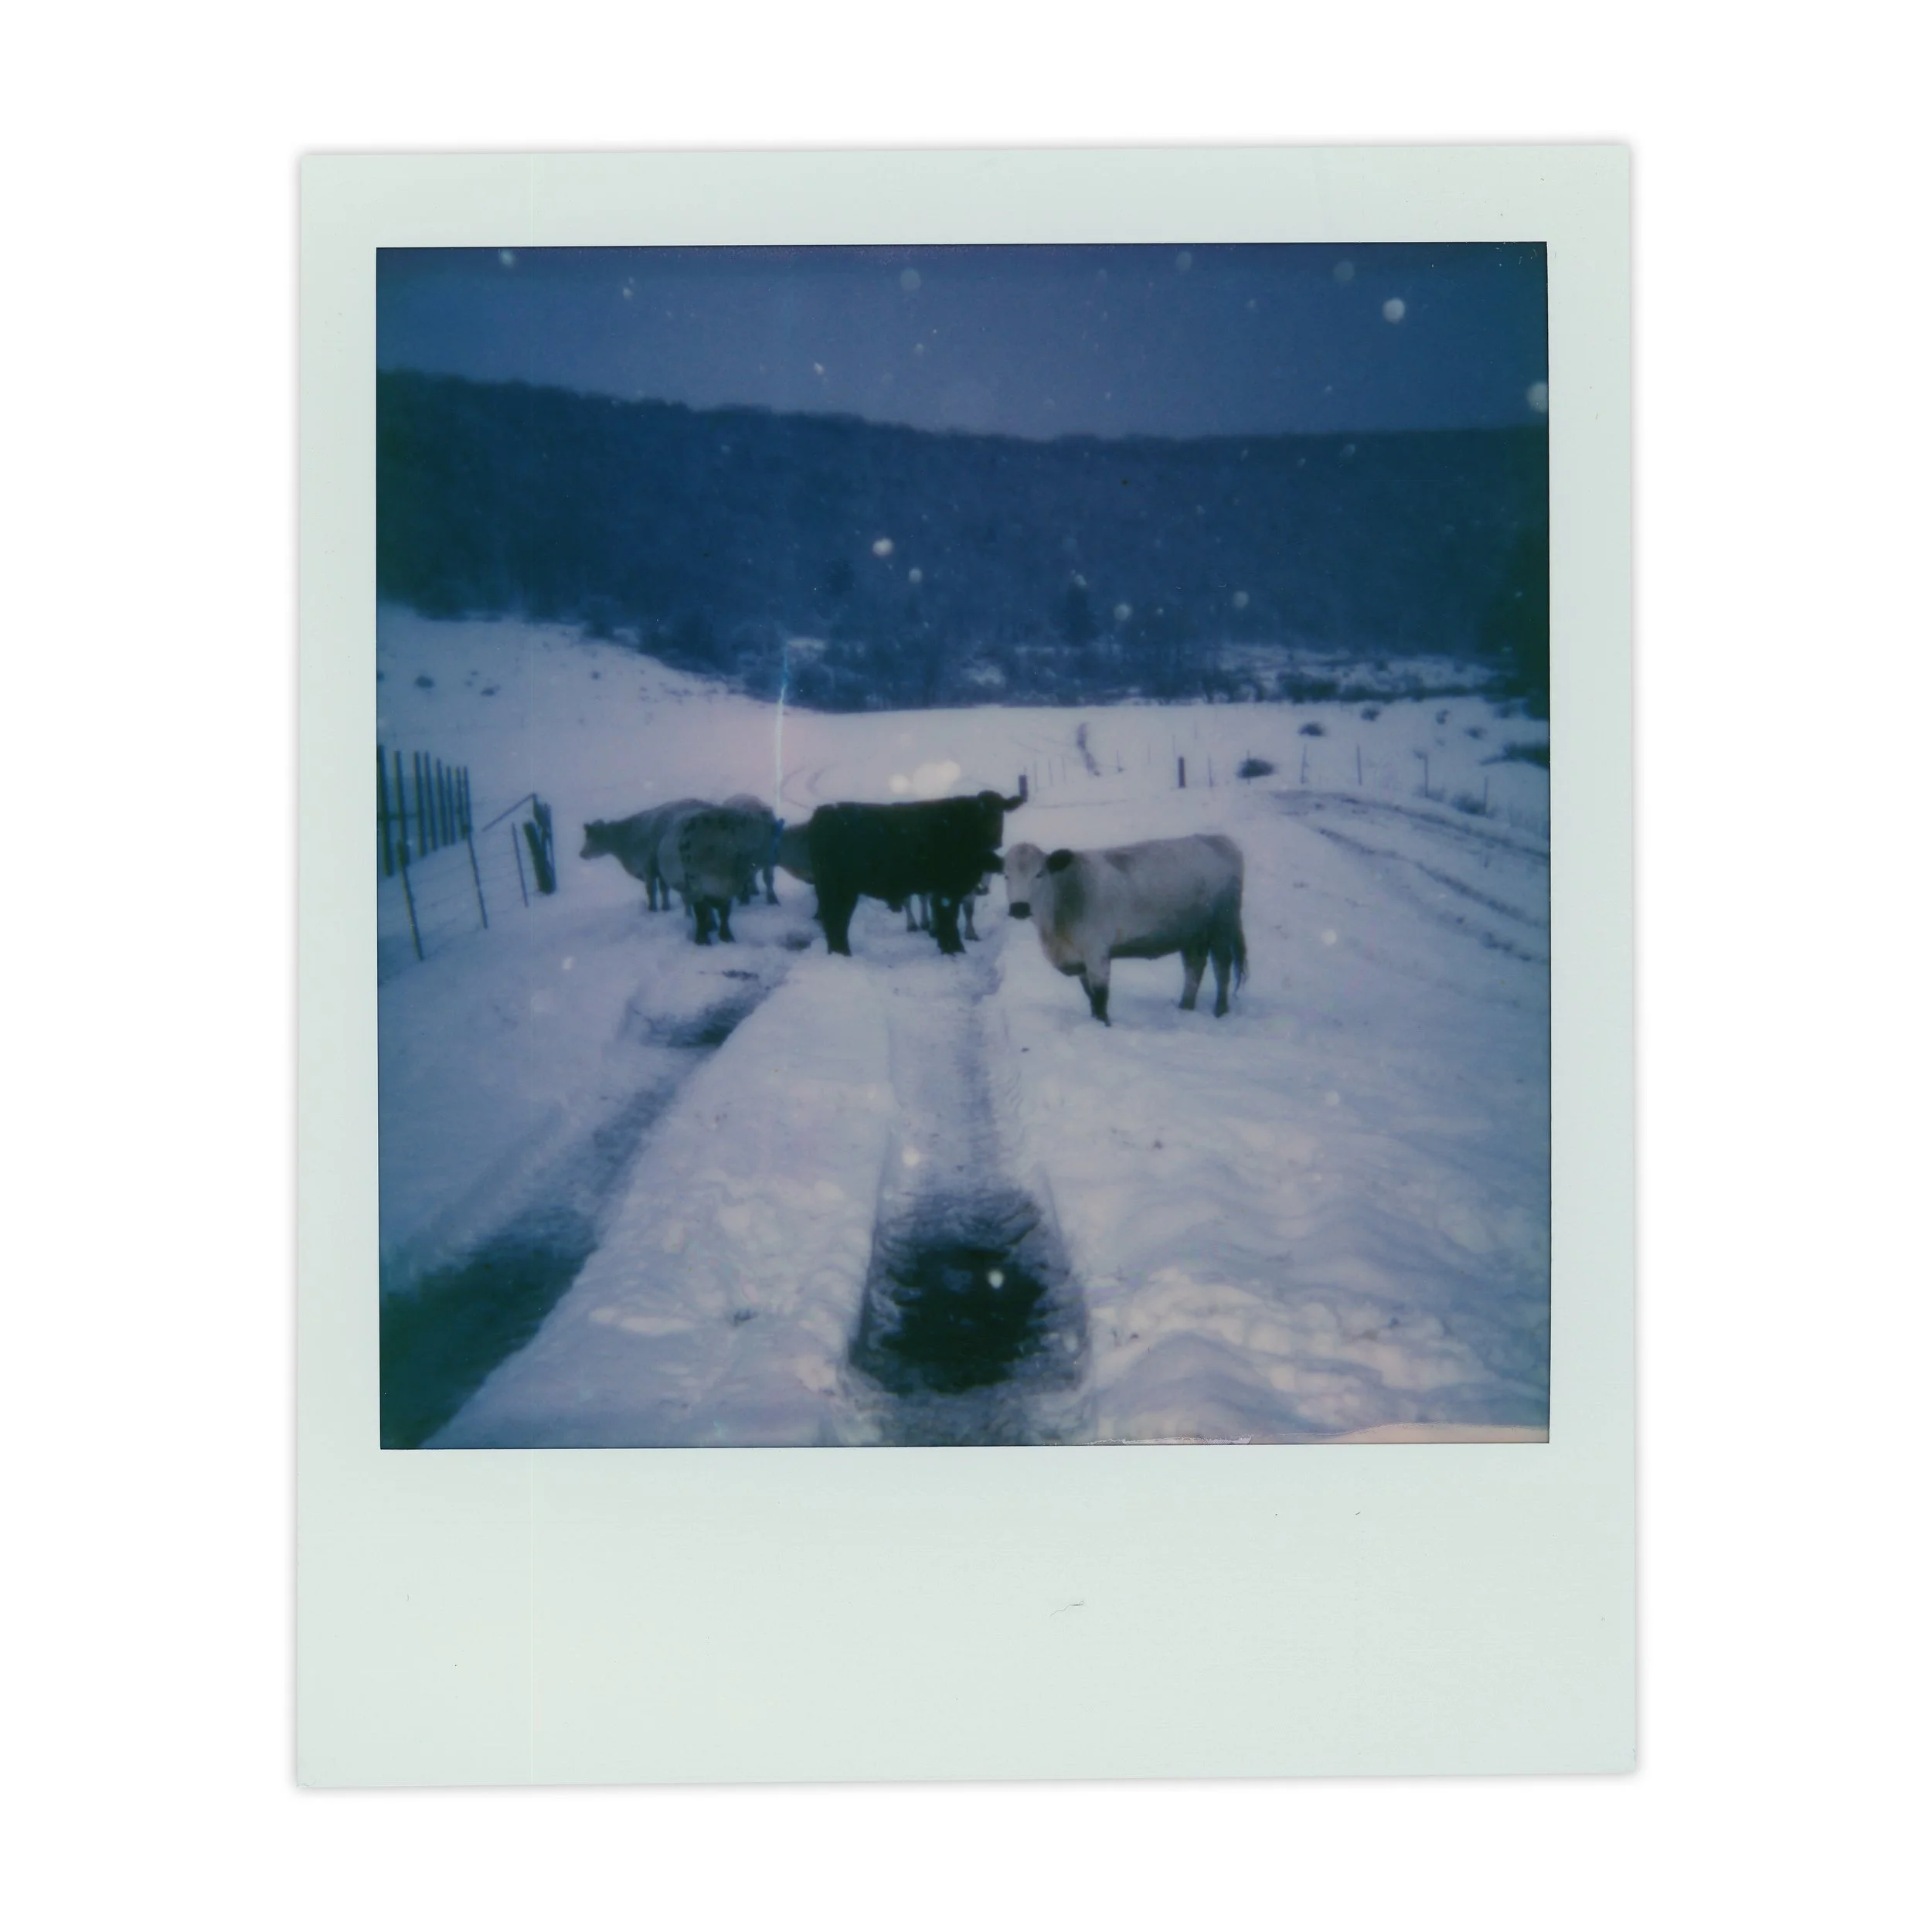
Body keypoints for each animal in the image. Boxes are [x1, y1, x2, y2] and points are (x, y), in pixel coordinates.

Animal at [580, 798, 708, 910]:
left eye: (594, 837)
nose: (581, 853)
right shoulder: (658, 871)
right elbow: (663, 890)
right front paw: (665, 907)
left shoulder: (649, 869)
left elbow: (652, 890)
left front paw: (653, 908)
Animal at [806, 790, 1022, 956]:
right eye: (979, 816)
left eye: (1001, 813)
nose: (995, 842)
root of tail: (824, 813)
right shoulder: (947, 891)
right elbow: (947, 919)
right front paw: (955, 950)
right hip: (839, 888)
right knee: (836, 919)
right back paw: (842, 953)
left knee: (835, 921)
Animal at [1002, 835, 1247, 1025]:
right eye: (1006, 876)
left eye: (1040, 874)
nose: (1019, 907)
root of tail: (1219, 840)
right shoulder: (1079, 960)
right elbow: (1089, 995)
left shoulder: (1096, 953)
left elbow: (1100, 996)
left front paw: (1104, 1025)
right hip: (1192, 934)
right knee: (1194, 968)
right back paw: (1185, 1007)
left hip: (1222, 926)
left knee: (1222, 968)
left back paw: (1220, 1011)